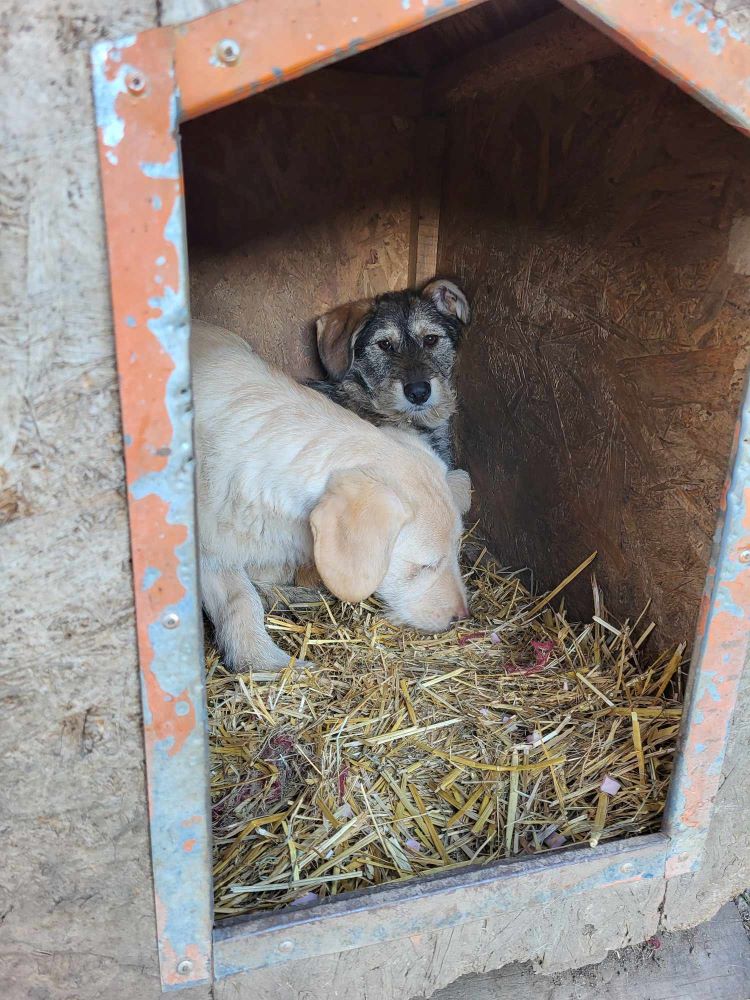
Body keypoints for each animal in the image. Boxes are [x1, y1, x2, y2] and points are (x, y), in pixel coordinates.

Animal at [191, 320, 472, 672]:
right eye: (425, 565)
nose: (462, 617)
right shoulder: (207, 550)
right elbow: (243, 599)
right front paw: (271, 664)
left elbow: (242, 598)